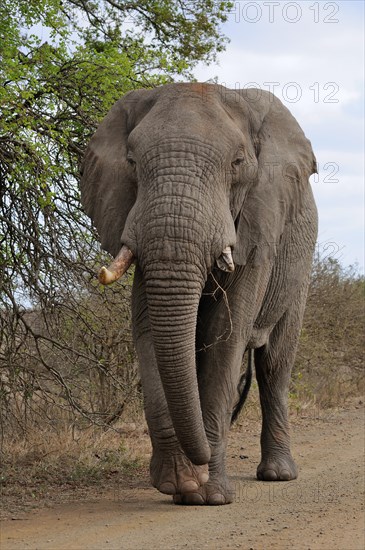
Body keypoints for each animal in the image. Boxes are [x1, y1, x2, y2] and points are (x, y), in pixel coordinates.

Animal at [79, 80, 316, 506]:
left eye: (237, 163)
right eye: (132, 163)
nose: (200, 462)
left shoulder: (258, 222)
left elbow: (227, 333)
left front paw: (211, 494)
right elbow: (147, 329)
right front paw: (181, 485)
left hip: (299, 264)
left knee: (274, 364)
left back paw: (277, 475)